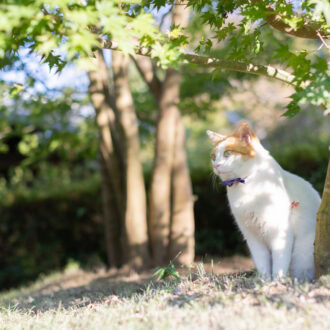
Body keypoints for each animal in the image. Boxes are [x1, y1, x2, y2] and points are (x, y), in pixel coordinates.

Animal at [208, 121, 320, 282]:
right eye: (213, 157)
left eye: (227, 153)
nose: (215, 165)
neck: (246, 183)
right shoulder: (252, 236)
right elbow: (262, 263)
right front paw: (264, 281)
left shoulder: (280, 232)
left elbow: (280, 263)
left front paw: (277, 282)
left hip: (302, 254)